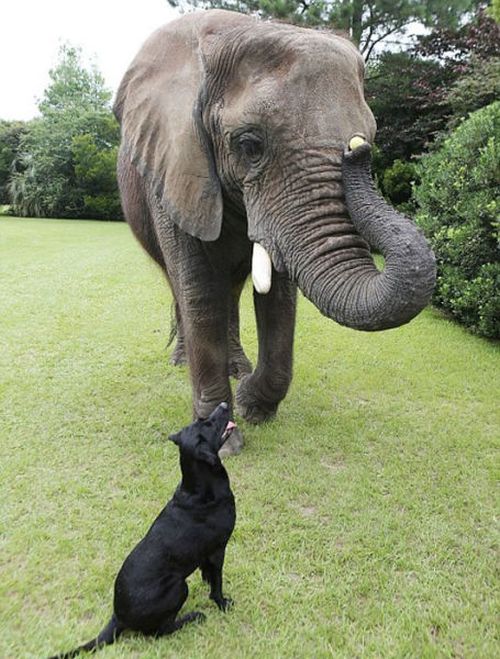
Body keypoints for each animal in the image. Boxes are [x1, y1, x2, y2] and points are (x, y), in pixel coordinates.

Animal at [49, 404, 237, 656]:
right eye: (208, 424)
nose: (225, 405)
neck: (199, 490)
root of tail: (118, 617)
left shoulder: (208, 556)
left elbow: (208, 575)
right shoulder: (218, 550)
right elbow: (217, 583)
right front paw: (222, 603)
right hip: (179, 586)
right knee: (160, 631)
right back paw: (192, 617)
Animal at [113, 9, 434, 454]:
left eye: (369, 134)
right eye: (249, 145)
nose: (357, 150)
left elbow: (279, 298)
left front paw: (252, 404)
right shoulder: (177, 164)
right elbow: (199, 291)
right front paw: (221, 440)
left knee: (230, 291)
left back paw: (238, 368)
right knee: (183, 286)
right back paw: (181, 361)